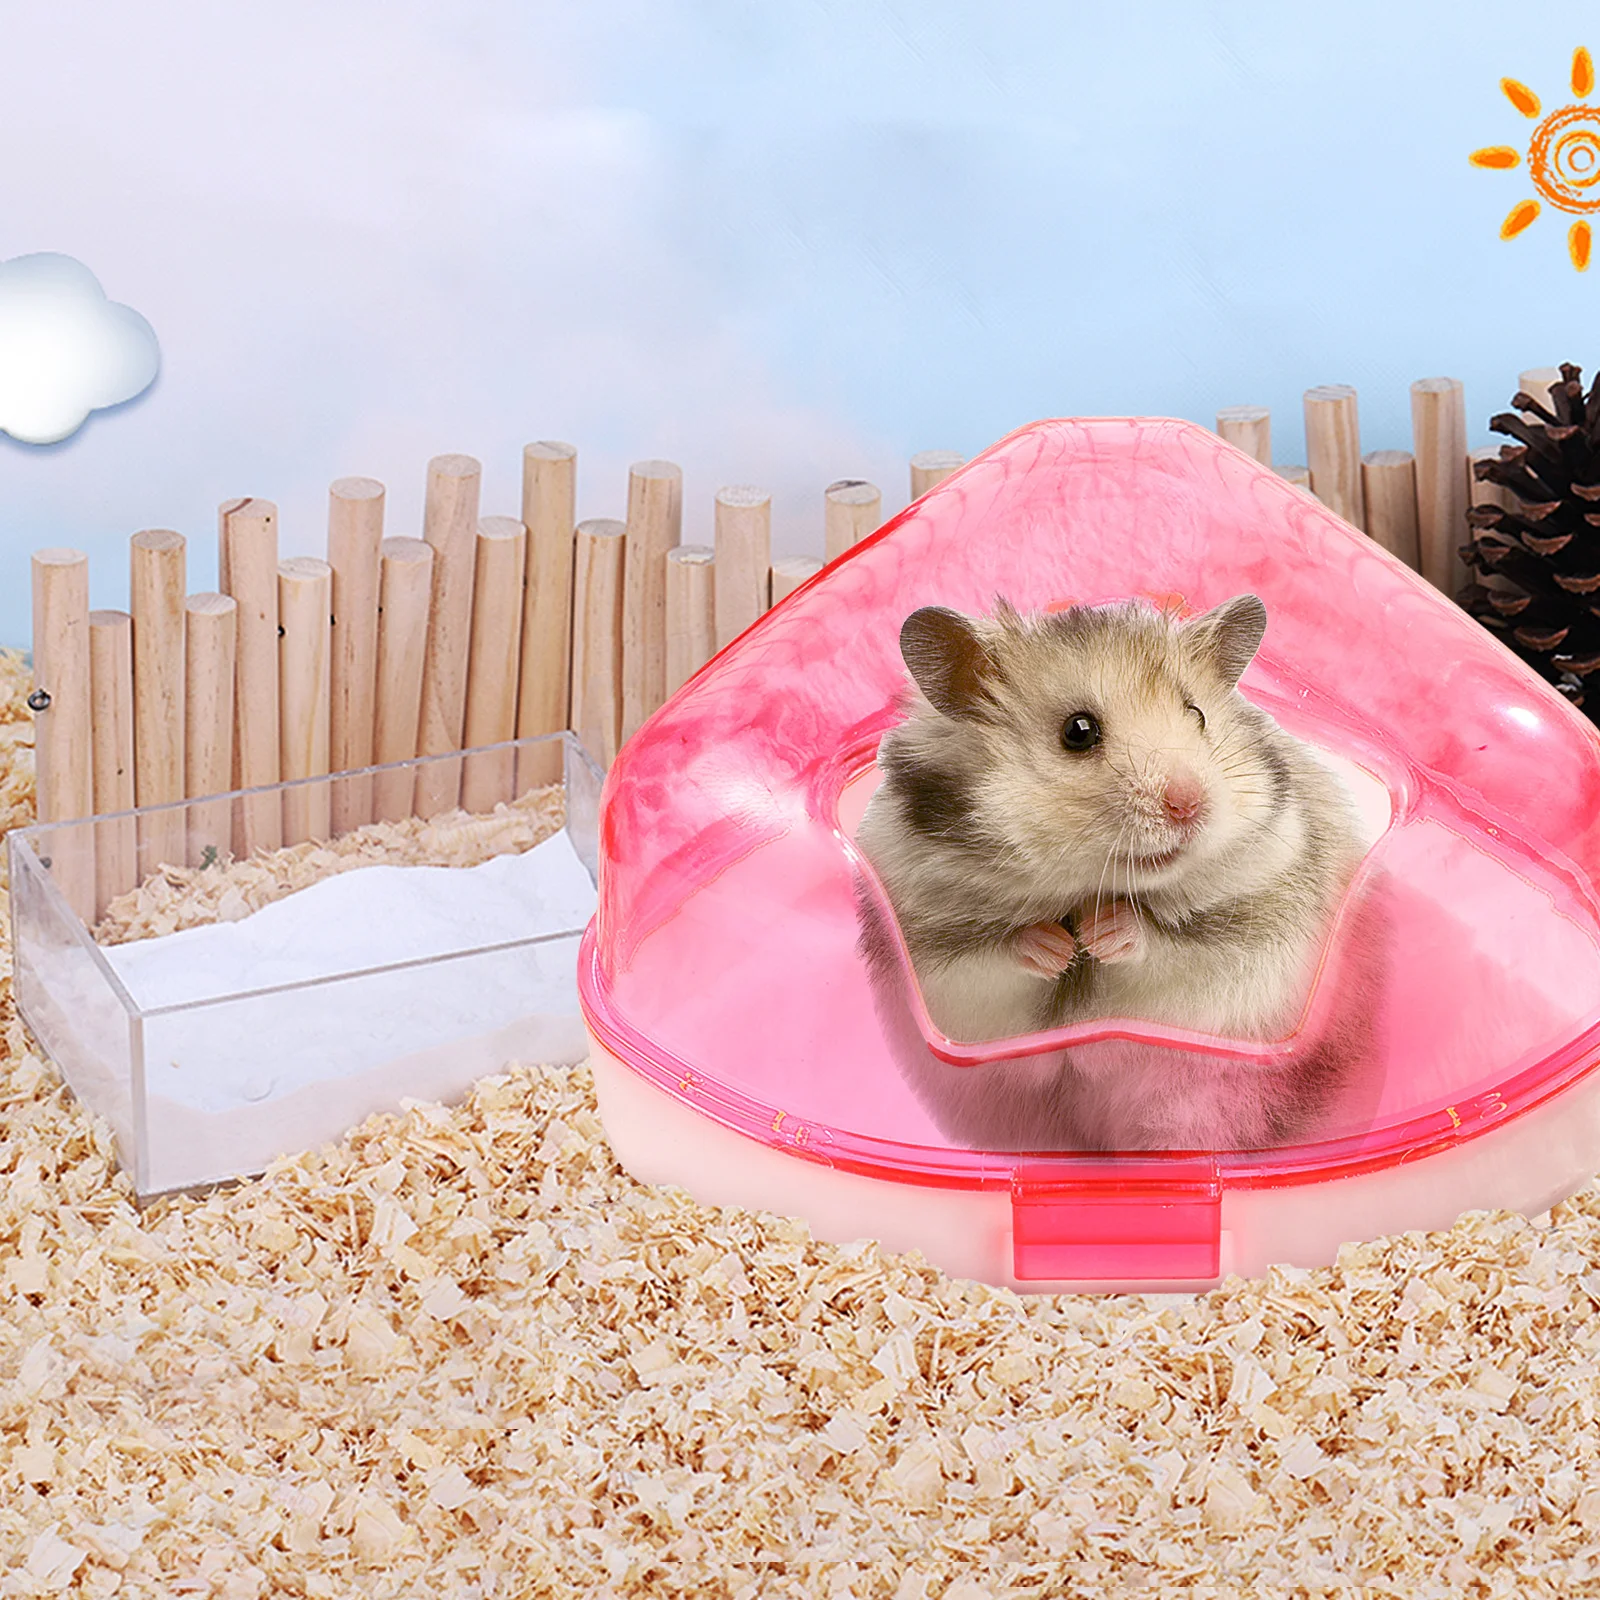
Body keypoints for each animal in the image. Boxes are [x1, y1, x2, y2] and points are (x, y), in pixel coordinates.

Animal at [853, 593, 1384, 1154]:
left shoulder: (1245, 949)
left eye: (1197, 713)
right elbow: (997, 958)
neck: (1090, 887)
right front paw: (1057, 947)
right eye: (1078, 731)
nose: (1188, 804)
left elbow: (1162, 948)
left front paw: (1099, 931)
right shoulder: (938, 976)